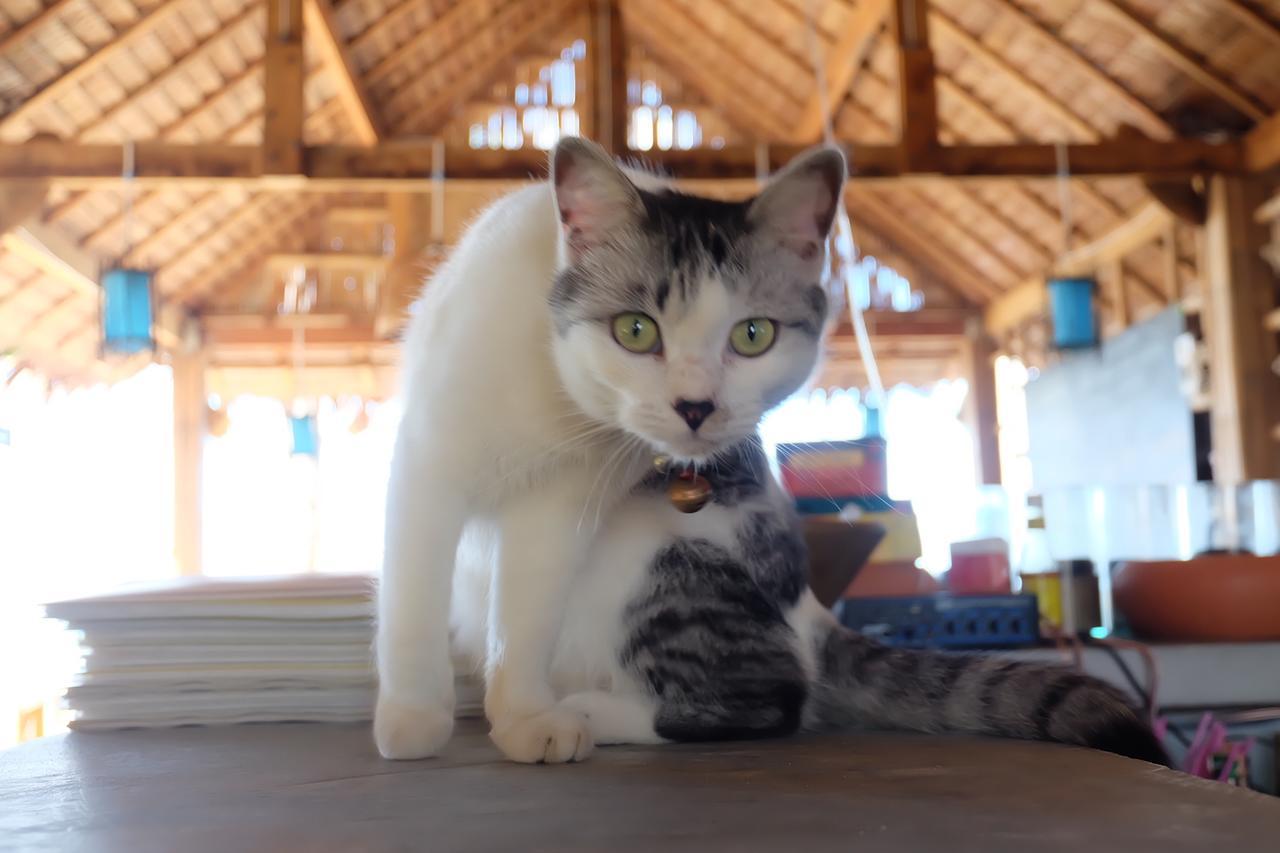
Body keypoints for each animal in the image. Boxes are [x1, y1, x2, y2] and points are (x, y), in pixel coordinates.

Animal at [373, 139, 1172, 763]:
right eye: (634, 330)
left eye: (752, 334)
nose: (696, 406)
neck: (553, 403)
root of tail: (814, 613)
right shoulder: (431, 460)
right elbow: (413, 598)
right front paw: (415, 715)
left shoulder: (562, 504)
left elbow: (526, 615)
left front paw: (526, 714)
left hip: (659, 554)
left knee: (773, 698)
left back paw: (589, 709)